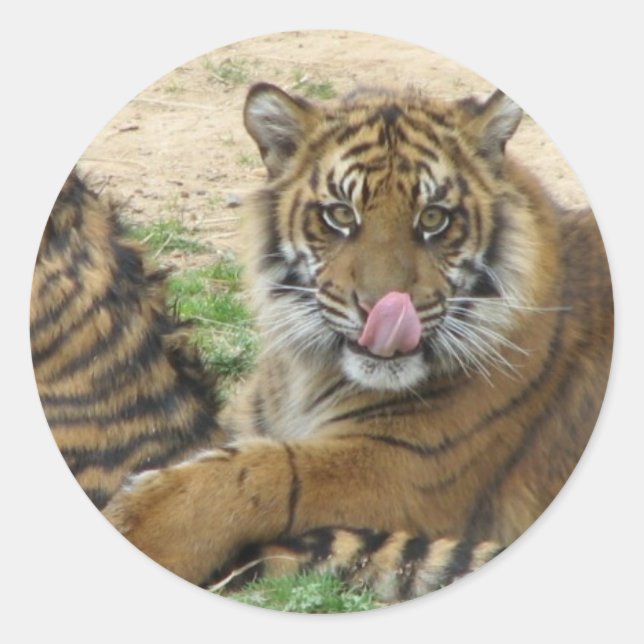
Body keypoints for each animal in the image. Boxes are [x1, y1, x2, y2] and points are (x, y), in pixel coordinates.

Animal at [100, 80, 612, 603]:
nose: (381, 310)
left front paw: (141, 521)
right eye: (340, 214)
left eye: (433, 218)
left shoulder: (408, 466)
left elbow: (269, 471)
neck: (309, 374)